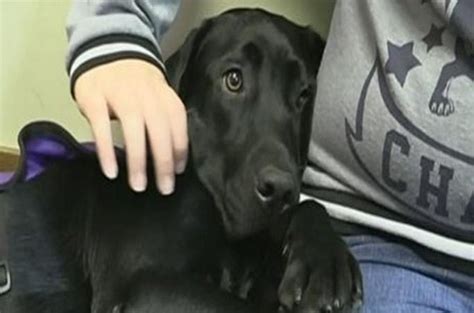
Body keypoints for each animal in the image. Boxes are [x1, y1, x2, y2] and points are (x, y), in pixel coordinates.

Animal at [0, 7, 362, 312]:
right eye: (233, 79)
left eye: (304, 94)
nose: (281, 190)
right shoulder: (147, 284)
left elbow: (309, 206)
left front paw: (323, 260)